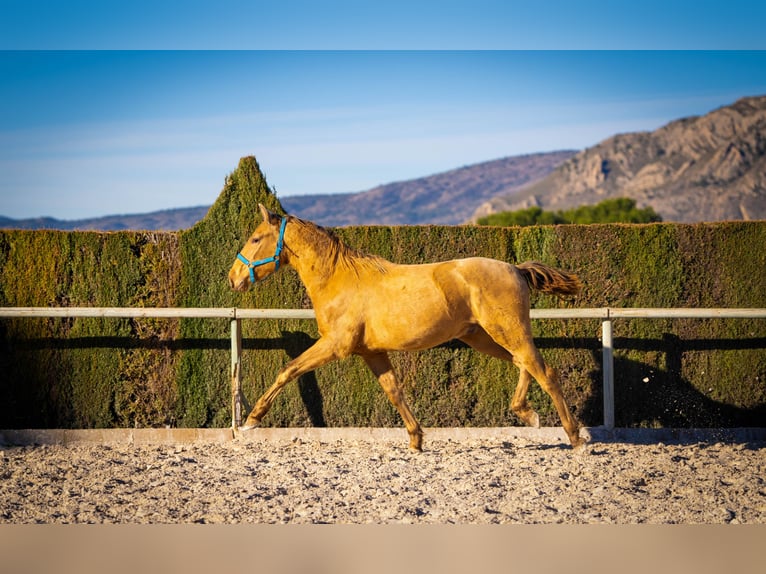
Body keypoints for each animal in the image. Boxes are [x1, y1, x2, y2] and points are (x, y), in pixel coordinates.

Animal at [228, 205, 588, 452]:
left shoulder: (335, 345)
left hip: (506, 331)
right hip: (485, 337)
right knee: (524, 364)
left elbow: (287, 370)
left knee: (544, 371)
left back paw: (575, 438)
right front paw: (416, 440)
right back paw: (527, 413)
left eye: (255, 238)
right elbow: (394, 391)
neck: (338, 279)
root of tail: (516, 269)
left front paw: (251, 420)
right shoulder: (371, 352)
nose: (233, 278)